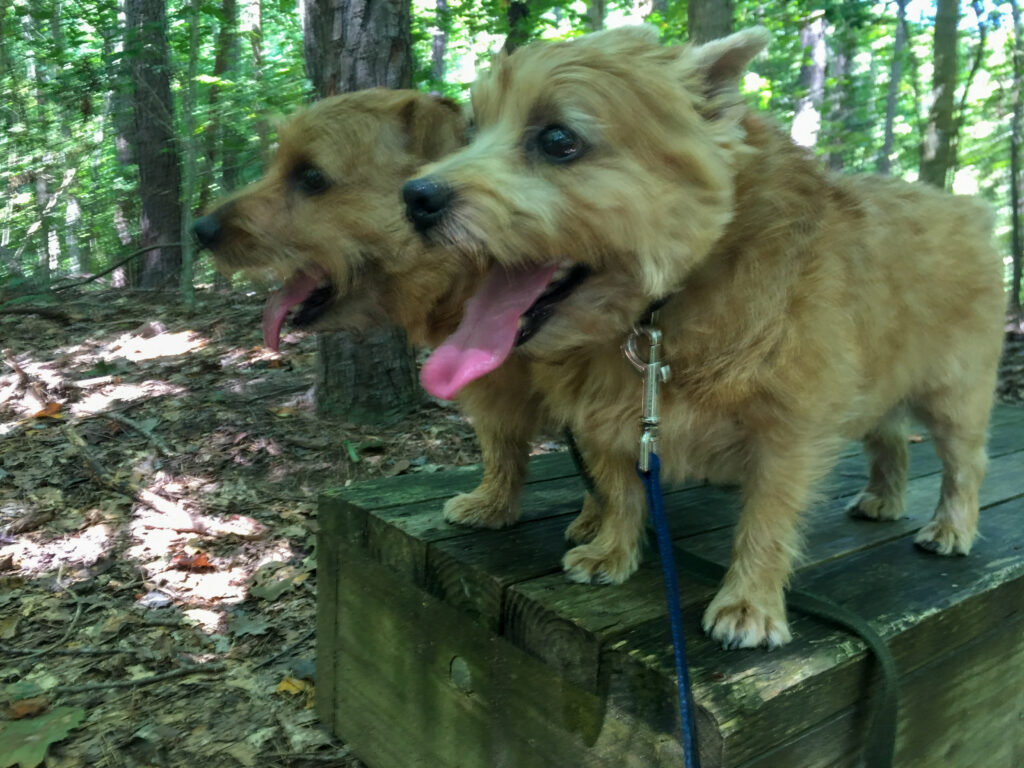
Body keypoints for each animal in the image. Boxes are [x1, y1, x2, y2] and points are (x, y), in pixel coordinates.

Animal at [401, 25, 1007, 651]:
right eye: (472, 132)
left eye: (558, 139)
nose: (415, 197)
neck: (659, 313)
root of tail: (969, 207)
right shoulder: (610, 417)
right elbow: (620, 489)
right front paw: (611, 552)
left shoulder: (791, 427)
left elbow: (767, 515)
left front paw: (749, 604)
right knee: (889, 439)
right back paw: (885, 499)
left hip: (956, 393)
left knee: (966, 463)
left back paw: (952, 527)